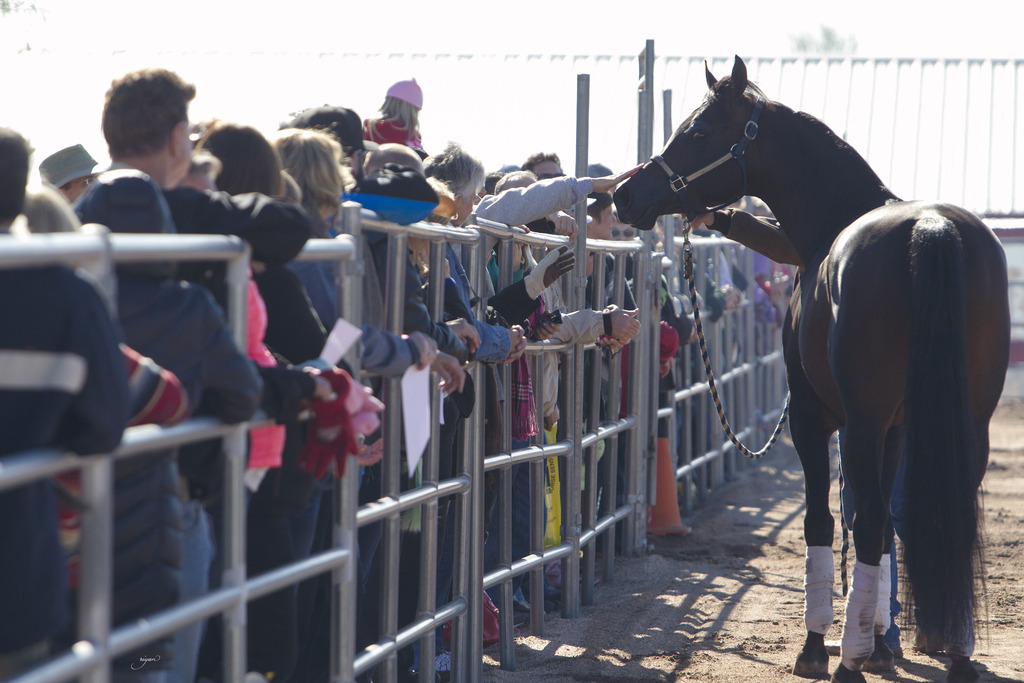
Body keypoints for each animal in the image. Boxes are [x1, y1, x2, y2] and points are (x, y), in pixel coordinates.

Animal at [614, 56, 1010, 683]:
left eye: (698, 133)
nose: (625, 195)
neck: (831, 222)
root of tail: (930, 229)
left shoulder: (814, 417)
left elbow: (825, 521)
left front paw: (818, 645)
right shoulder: (896, 425)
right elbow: (885, 525)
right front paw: (881, 644)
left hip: (863, 421)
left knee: (865, 520)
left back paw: (848, 659)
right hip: (968, 420)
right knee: (943, 519)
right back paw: (956, 655)